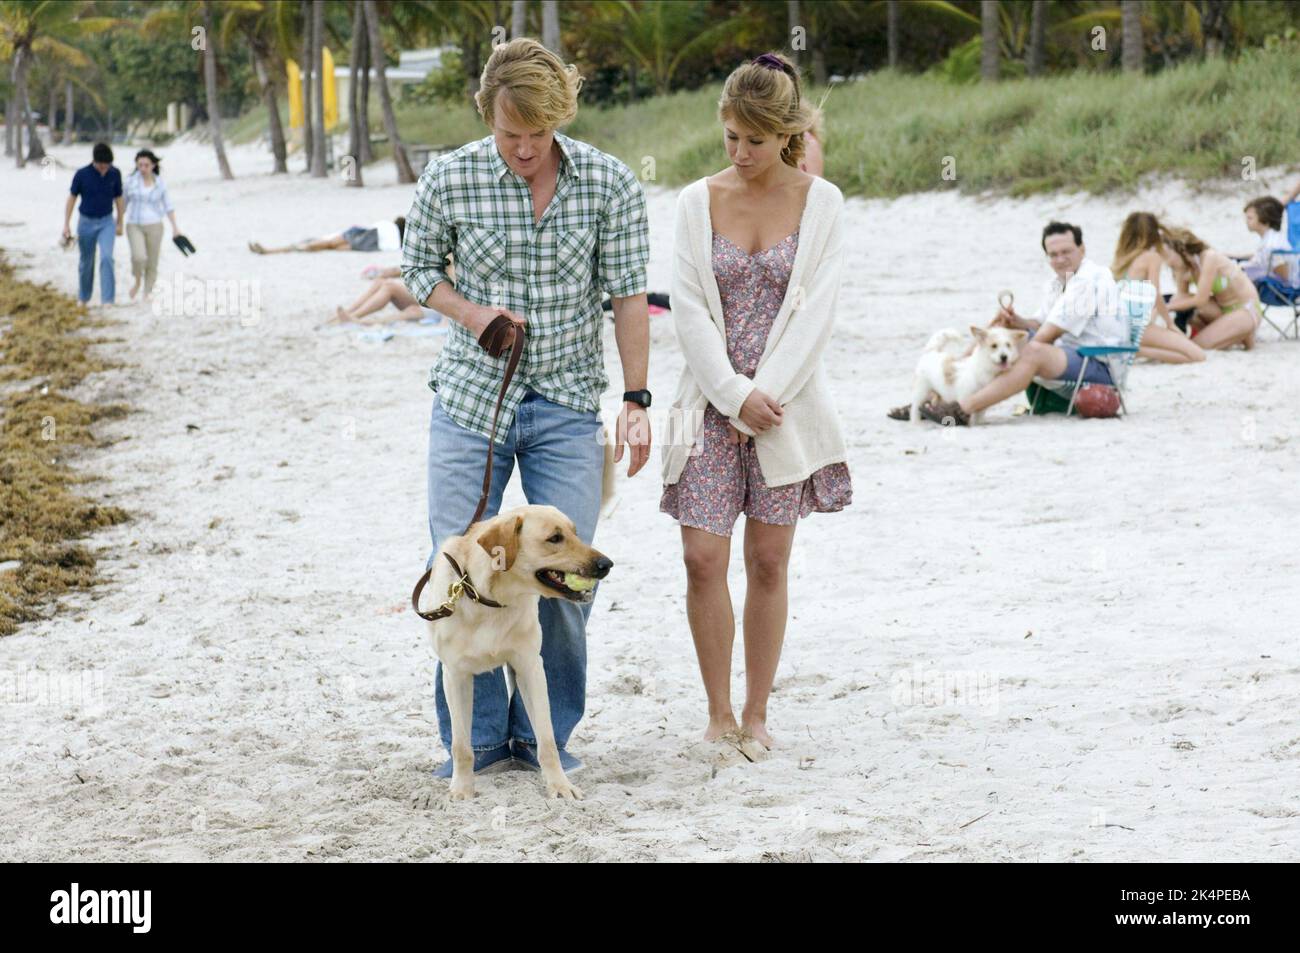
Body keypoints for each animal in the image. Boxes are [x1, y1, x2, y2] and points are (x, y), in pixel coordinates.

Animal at [421, 501, 613, 800]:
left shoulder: (530, 668)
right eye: (554, 538)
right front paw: (462, 789)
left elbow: (546, 740)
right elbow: (461, 746)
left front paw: (559, 786)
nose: (607, 565)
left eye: (575, 532)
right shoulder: (456, 676)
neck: (491, 600)